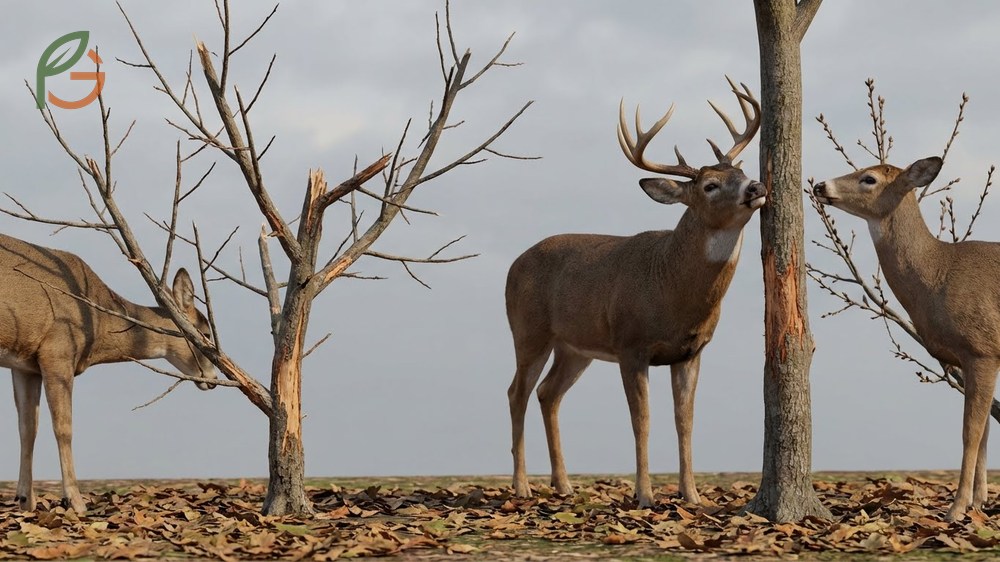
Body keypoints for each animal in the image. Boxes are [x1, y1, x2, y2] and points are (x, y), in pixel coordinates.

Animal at [0, 233, 218, 513]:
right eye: (205, 332)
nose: (213, 379)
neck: (98, 319)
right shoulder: (58, 350)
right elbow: (64, 427)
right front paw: (75, 502)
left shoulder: (26, 364)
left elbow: (27, 428)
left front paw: (26, 501)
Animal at [505, 78, 764, 508]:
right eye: (710, 185)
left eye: (740, 169)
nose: (757, 186)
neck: (672, 289)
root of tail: (513, 264)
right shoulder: (631, 345)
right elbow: (641, 421)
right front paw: (644, 495)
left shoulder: (691, 352)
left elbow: (685, 421)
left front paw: (692, 494)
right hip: (529, 331)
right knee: (517, 392)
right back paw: (522, 486)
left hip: (574, 347)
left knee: (548, 393)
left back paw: (564, 484)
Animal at [813, 156, 1000, 521]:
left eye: (869, 178)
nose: (819, 185)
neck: (939, 274)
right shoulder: (972, 358)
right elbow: (984, 430)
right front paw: (978, 501)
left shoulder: (982, 349)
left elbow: (970, 431)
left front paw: (956, 508)